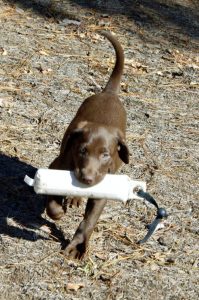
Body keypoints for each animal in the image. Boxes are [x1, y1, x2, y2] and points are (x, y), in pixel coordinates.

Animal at [46, 32, 129, 258]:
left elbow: (89, 220)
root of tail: (109, 93)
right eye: (82, 150)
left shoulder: (103, 187)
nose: (87, 179)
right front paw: (59, 211)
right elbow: (52, 204)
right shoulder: (57, 166)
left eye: (106, 155)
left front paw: (78, 246)